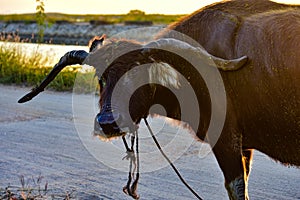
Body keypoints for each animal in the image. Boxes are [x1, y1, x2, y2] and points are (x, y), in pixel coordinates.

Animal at [19, 0, 300, 200]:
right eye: (101, 78)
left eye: (139, 75)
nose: (108, 122)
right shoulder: (244, 146)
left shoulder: (226, 138)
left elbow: (237, 187)